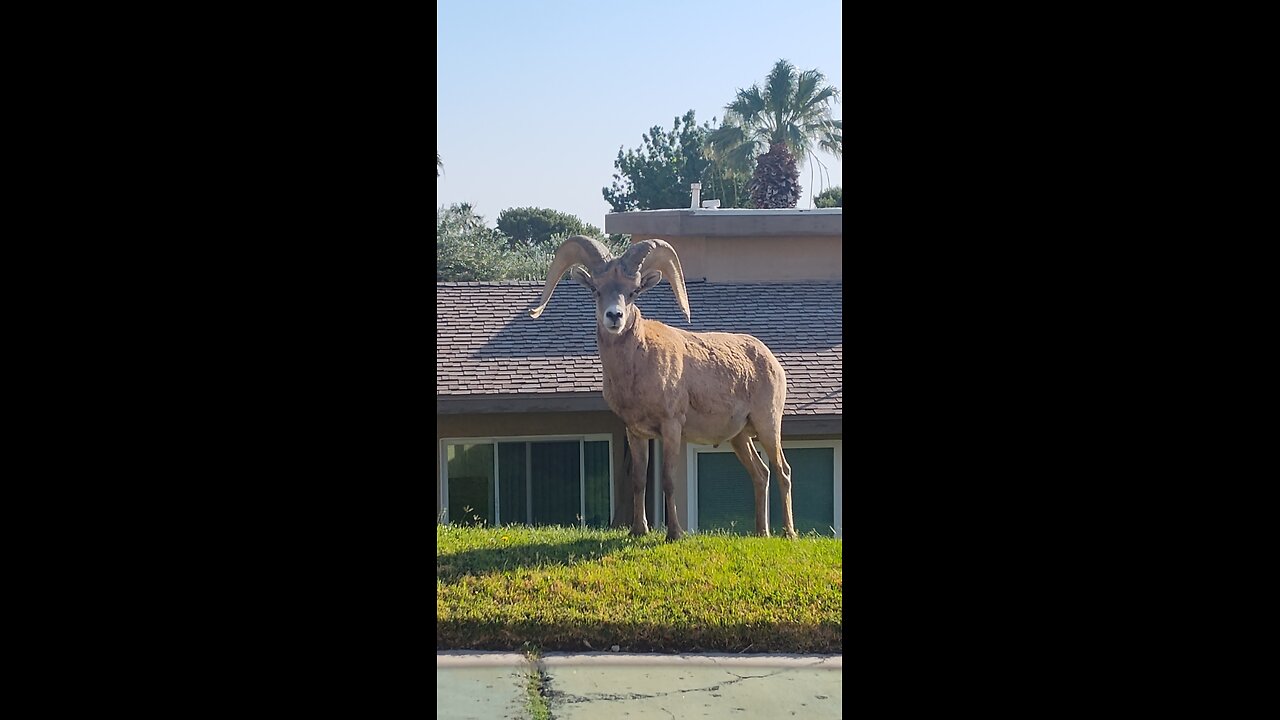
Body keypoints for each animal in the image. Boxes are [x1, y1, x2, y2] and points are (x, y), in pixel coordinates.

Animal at [527, 235, 788, 538]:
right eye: (596, 290)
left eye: (633, 292)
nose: (614, 316)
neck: (637, 367)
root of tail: (771, 361)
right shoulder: (636, 432)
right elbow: (639, 480)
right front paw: (638, 531)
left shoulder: (671, 427)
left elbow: (668, 480)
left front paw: (674, 533)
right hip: (740, 438)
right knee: (761, 474)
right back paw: (762, 533)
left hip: (768, 426)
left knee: (782, 471)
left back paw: (788, 533)